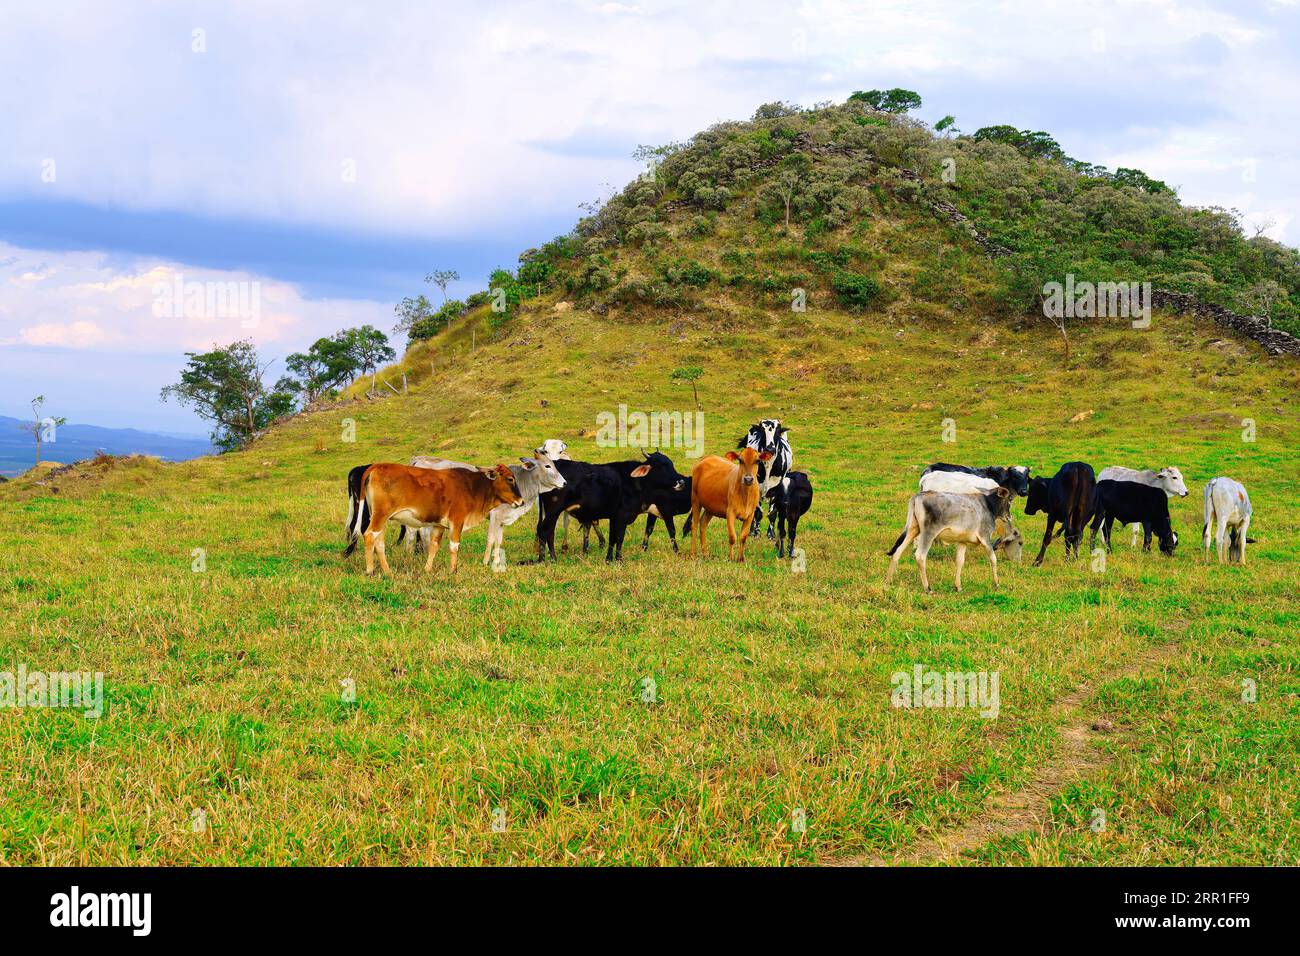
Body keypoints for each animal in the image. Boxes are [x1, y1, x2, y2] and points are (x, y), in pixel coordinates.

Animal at [356, 463, 522, 574]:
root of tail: (376, 466)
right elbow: (454, 546)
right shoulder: (457, 520)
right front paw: (453, 570)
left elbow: (434, 546)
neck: (472, 486)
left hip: (380, 517)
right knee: (369, 535)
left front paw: (427, 569)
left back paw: (387, 571)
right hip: (380, 515)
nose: (521, 501)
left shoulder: (439, 525)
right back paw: (370, 570)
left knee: (379, 542)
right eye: (510, 479)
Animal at [535, 450, 686, 561]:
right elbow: (619, 538)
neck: (634, 481)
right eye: (662, 466)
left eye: (671, 464)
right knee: (544, 530)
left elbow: (612, 538)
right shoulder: (622, 516)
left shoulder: (614, 518)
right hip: (554, 510)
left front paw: (609, 559)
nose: (681, 482)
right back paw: (548, 559)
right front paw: (619, 560)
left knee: (548, 531)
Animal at [889, 489, 1019, 595]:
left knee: (897, 552)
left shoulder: (962, 541)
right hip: (928, 533)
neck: (988, 505)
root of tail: (918, 496)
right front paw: (996, 583)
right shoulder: (985, 538)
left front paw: (958, 586)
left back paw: (887, 581)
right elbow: (993, 559)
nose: (1010, 517)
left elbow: (960, 561)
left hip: (913, 529)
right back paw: (928, 588)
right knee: (920, 556)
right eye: (1009, 500)